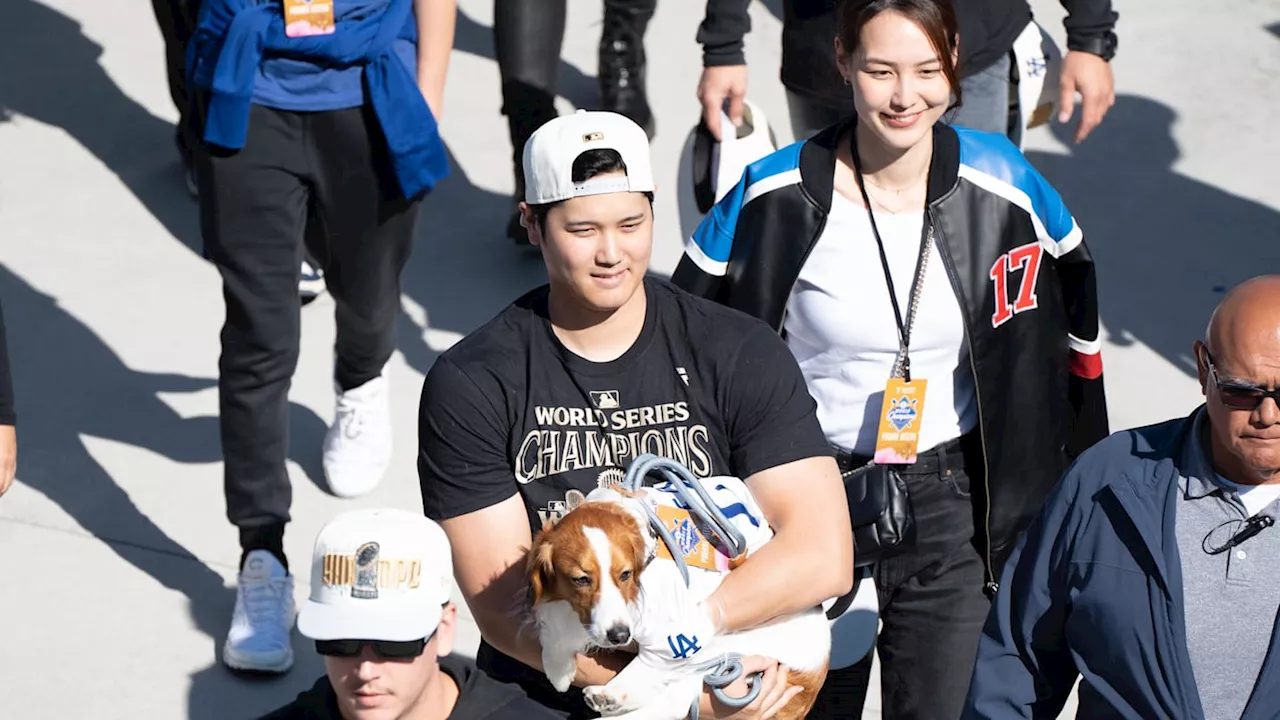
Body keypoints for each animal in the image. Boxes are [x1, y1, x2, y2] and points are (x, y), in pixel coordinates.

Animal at [527, 479, 829, 712]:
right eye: (581, 579)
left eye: (625, 574)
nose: (620, 636)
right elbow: (555, 631)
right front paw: (558, 670)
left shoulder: (672, 628)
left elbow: (655, 659)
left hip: (730, 642)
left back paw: (610, 695)